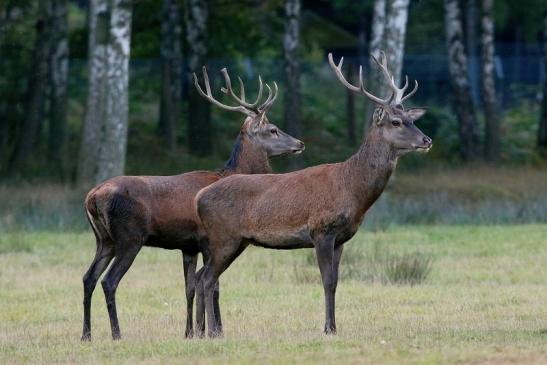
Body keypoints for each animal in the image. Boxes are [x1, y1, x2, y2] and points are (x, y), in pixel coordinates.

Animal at [79, 67, 306, 340]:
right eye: (273, 129)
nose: (300, 143)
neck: (229, 174)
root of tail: (92, 197)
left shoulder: (188, 246)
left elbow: (189, 287)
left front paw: (190, 332)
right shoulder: (208, 240)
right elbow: (213, 285)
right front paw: (215, 330)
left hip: (104, 239)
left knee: (88, 278)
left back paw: (86, 334)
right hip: (129, 237)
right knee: (109, 281)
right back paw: (116, 333)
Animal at [193, 51, 432, 336]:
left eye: (412, 120)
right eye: (396, 122)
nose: (427, 140)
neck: (352, 189)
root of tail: (199, 197)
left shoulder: (341, 238)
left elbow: (336, 281)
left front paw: (334, 326)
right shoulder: (321, 230)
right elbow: (327, 281)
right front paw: (329, 328)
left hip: (234, 240)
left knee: (202, 276)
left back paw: (200, 331)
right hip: (224, 237)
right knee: (208, 279)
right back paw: (212, 332)